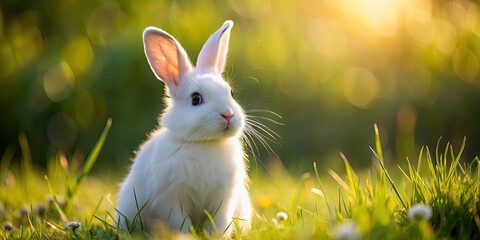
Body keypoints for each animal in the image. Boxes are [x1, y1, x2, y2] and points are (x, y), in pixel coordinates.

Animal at [117, 21, 251, 236]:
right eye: (196, 99)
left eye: (230, 93)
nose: (228, 115)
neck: (204, 143)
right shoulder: (169, 198)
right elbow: (180, 221)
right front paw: (187, 236)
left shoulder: (223, 198)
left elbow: (218, 221)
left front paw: (215, 236)